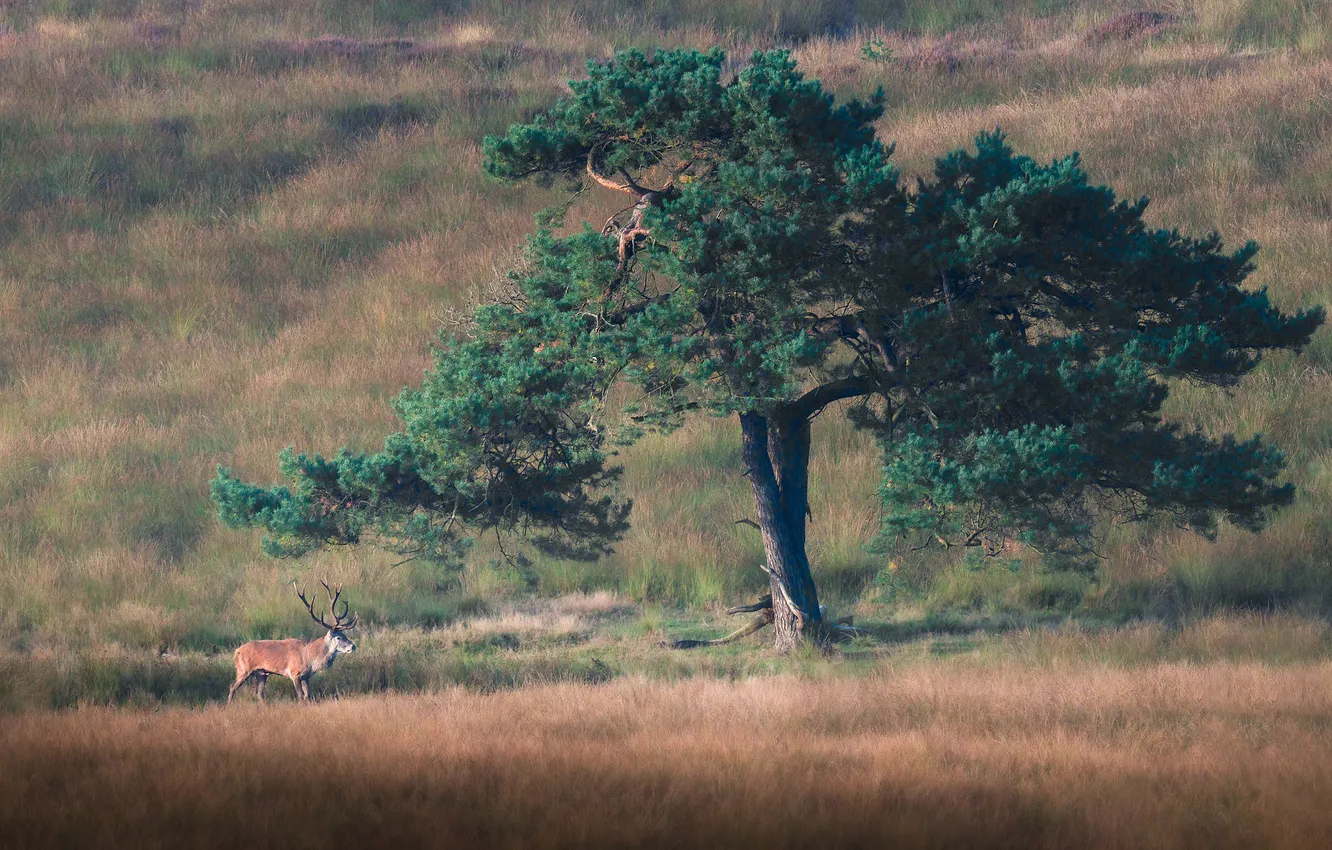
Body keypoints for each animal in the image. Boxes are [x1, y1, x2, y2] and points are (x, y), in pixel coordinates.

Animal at [227, 581, 358, 704]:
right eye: (338, 637)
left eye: (345, 634)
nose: (353, 646)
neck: (309, 658)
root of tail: (236, 651)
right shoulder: (294, 673)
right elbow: (300, 696)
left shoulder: (306, 676)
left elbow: (307, 695)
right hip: (243, 669)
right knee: (232, 686)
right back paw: (229, 706)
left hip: (262, 673)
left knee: (259, 693)